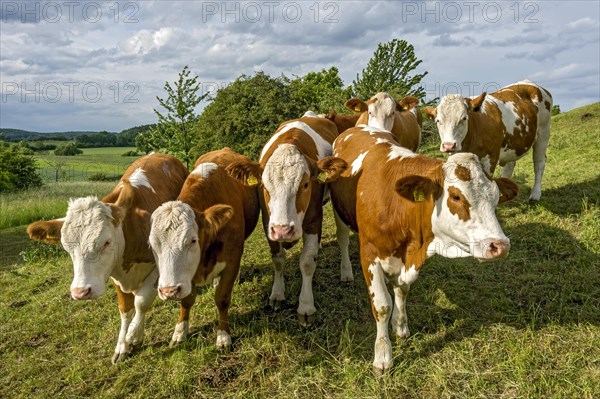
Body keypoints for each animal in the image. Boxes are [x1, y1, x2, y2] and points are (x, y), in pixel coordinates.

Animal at [27, 153, 188, 362]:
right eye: (67, 247)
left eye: (105, 242)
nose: (81, 292)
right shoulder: (115, 273)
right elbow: (125, 309)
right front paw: (122, 346)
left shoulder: (157, 269)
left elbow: (141, 302)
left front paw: (133, 336)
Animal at [149, 149, 258, 350]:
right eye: (153, 245)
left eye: (193, 241)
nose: (168, 291)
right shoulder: (187, 275)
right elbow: (186, 300)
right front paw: (179, 332)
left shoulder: (232, 259)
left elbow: (222, 298)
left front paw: (223, 336)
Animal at [225, 111, 346, 326]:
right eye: (264, 185)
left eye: (305, 184)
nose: (283, 230)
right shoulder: (268, 222)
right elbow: (278, 259)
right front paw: (277, 294)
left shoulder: (314, 219)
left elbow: (307, 261)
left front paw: (306, 306)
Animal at [330, 126, 516, 376]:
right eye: (456, 196)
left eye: (495, 197)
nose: (500, 245)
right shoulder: (369, 255)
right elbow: (382, 305)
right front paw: (382, 357)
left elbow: (402, 291)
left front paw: (400, 326)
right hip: (338, 212)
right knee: (342, 239)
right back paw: (346, 272)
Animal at [424, 80, 552, 202]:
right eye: (438, 120)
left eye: (464, 118)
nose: (449, 145)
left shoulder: (491, 158)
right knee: (510, 165)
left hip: (543, 132)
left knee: (539, 162)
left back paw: (535, 194)